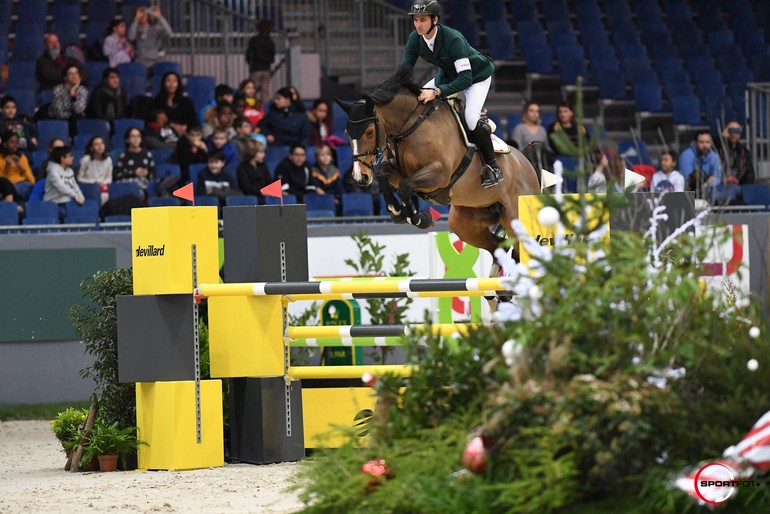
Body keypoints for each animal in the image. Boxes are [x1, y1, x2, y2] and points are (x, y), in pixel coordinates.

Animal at [334, 68, 540, 260]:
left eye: (369, 132)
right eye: (346, 133)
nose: (360, 177)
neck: (411, 126)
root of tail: (527, 166)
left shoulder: (439, 174)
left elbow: (405, 186)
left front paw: (418, 218)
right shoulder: (397, 172)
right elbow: (383, 173)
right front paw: (397, 211)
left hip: (516, 215)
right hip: (465, 221)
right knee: (500, 247)